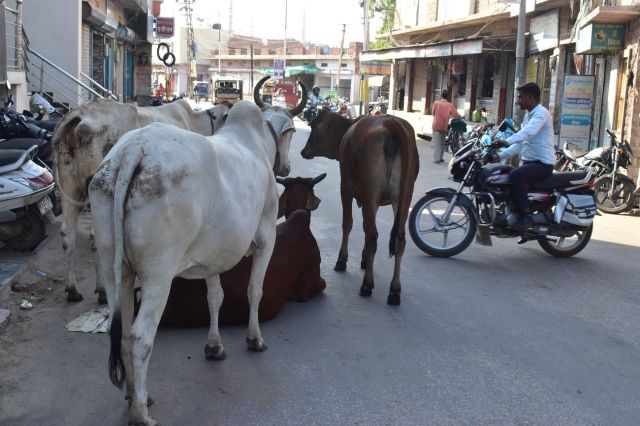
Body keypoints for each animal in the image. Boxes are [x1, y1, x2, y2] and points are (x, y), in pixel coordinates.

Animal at [53, 98, 232, 303]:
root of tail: (80, 115)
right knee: (95, 238)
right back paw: (102, 290)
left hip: (69, 187)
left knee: (68, 235)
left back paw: (73, 289)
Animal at [88, 101, 296, 425]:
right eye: (292, 133)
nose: (285, 168)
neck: (256, 142)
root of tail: (134, 149)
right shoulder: (266, 237)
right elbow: (254, 291)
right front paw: (255, 339)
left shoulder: (212, 256)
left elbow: (215, 297)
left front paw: (214, 347)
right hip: (158, 277)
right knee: (140, 336)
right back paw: (141, 413)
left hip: (115, 268)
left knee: (118, 329)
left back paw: (135, 395)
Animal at [301, 110, 419, 305]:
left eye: (313, 125)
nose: (304, 151)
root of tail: (391, 123)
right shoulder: (373, 201)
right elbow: (364, 227)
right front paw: (364, 259)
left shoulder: (346, 189)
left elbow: (348, 223)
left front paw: (342, 260)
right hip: (404, 195)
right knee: (398, 239)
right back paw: (394, 290)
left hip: (370, 191)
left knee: (372, 236)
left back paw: (367, 285)